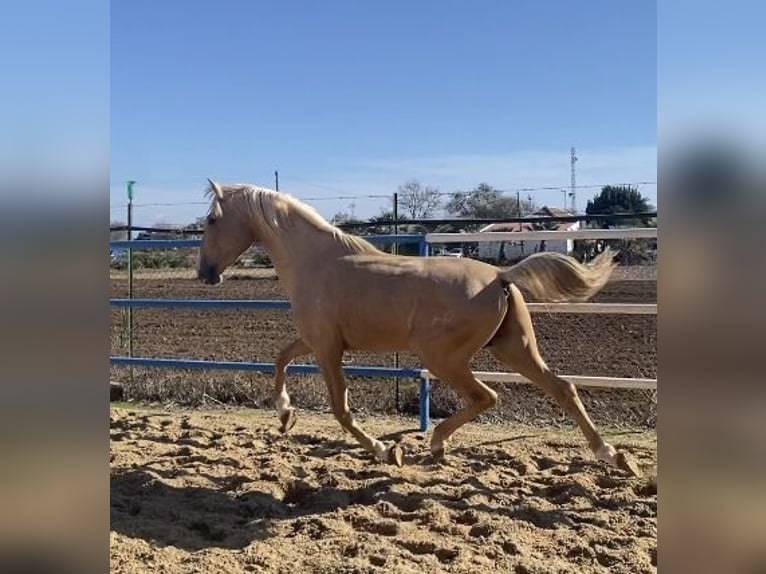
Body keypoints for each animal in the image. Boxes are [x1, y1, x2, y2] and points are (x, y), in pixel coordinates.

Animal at [198, 181, 640, 476]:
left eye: (212, 219)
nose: (205, 273)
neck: (316, 261)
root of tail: (501, 275)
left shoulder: (327, 348)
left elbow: (341, 408)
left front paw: (385, 450)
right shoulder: (315, 340)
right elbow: (280, 359)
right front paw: (285, 415)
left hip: (445, 358)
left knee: (487, 396)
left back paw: (436, 443)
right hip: (513, 348)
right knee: (563, 388)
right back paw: (614, 456)